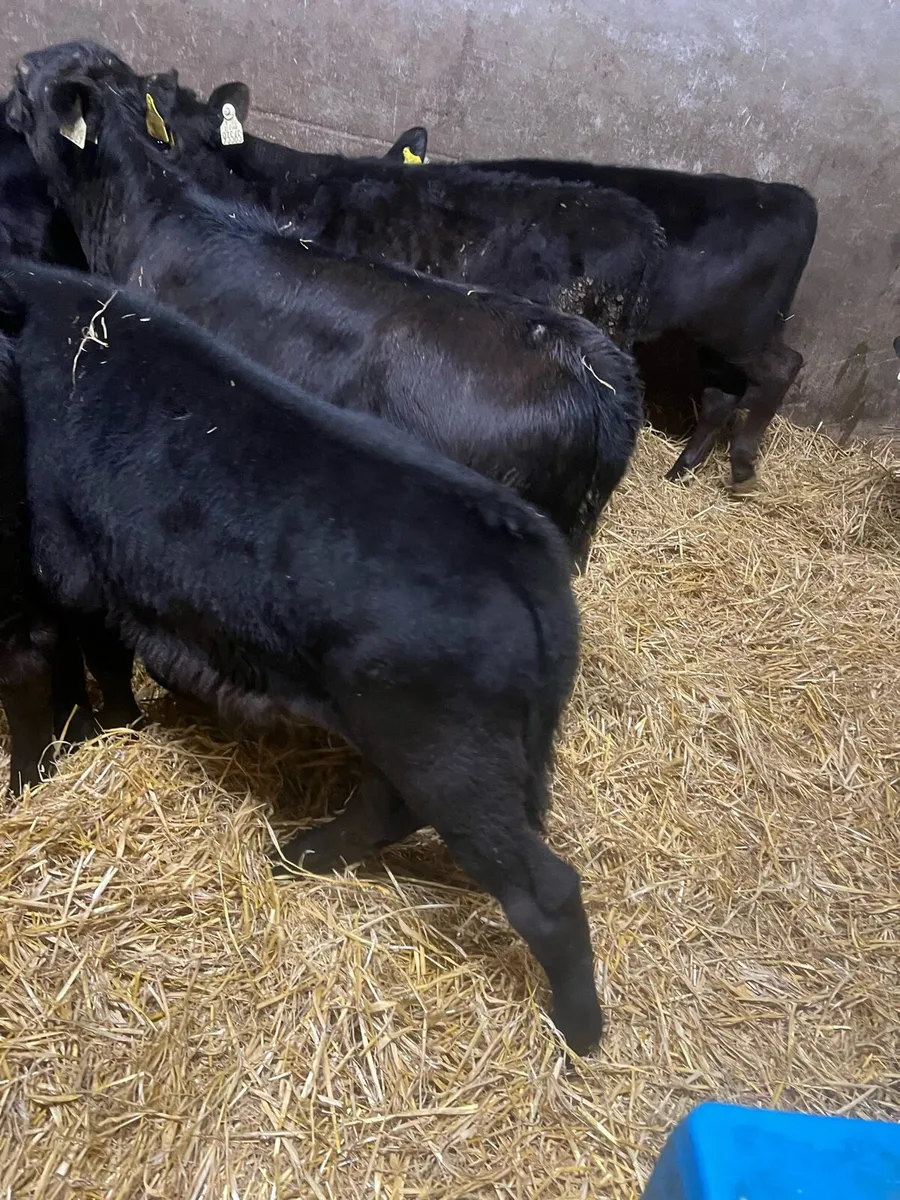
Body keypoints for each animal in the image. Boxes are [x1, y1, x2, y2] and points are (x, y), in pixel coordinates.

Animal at [0, 258, 603, 1056]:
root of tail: (524, 550)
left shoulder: (70, 569)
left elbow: (76, 665)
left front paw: (75, 747)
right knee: (387, 809)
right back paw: (298, 853)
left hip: (449, 749)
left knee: (543, 889)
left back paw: (580, 1033)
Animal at [389, 125, 818, 492]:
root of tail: (789, 196)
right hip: (715, 341)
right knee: (721, 395)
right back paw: (680, 471)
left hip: (741, 332)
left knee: (783, 367)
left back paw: (742, 463)